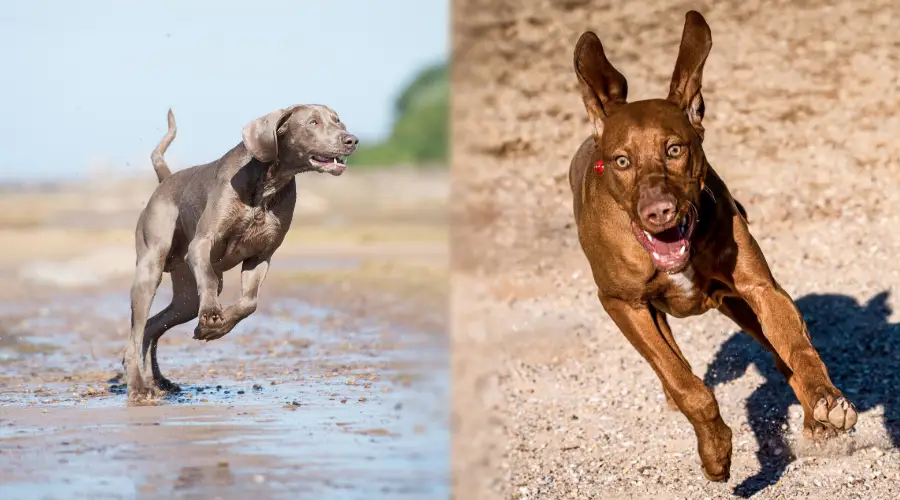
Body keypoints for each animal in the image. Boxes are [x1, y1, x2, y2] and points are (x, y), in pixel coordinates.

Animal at [125, 103, 356, 400]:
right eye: (312, 122)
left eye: (337, 121)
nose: (351, 140)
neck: (267, 184)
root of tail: (165, 180)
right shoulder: (202, 243)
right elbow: (209, 279)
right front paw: (211, 314)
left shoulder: (261, 255)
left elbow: (249, 303)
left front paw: (213, 329)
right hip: (150, 268)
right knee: (137, 329)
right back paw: (139, 386)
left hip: (186, 298)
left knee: (152, 326)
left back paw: (157, 381)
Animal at [568, 10, 856, 480]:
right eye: (622, 161)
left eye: (675, 149)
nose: (659, 212)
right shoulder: (621, 303)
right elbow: (686, 383)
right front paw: (716, 451)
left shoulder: (760, 289)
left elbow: (797, 348)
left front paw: (825, 399)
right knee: (674, 366)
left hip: (739, 305)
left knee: (780, 353)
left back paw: (816, 416)